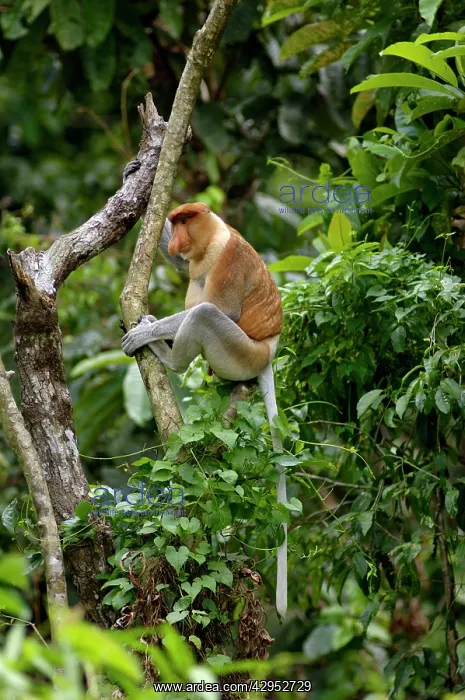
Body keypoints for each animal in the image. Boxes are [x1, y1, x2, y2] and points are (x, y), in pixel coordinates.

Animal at [122, 203, 287, 618]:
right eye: (176, 222)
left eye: (187, 221)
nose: (178, 235)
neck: (213, 238)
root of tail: (269, 351)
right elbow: (181, 265)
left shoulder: (228, 260)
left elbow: (222, 309)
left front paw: (145, 333)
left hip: (241, 353)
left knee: (205, 314)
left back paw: (167, 354)